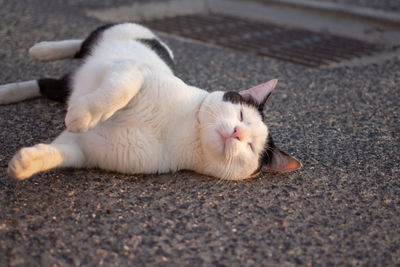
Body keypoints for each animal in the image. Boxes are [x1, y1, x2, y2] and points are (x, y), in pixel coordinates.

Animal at [0, 23, 302, 181]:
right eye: (240, 115)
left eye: (250, 147)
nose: (238, 133)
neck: (185, 131)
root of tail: (162, 42)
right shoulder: (133, 71)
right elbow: (118, 92)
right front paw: (84, 115)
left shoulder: (87, 150)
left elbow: (60, 153)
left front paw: (25, 163)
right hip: (111, 37)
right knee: (81, 43)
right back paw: (42, 49)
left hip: (64, 88)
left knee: (46, 83)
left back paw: (7, 92)